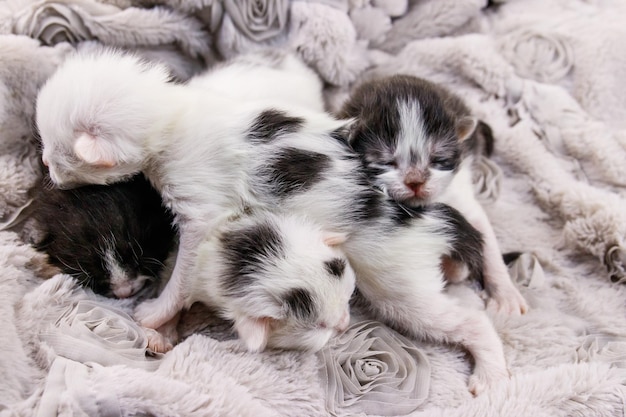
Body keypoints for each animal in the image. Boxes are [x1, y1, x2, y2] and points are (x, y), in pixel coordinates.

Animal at [336, 75, 528, 314]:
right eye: (386, 162)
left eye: (438, 159)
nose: (415, 180)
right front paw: (452, 266)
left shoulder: (459, 194)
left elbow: (486, 241)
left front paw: (505, 294)